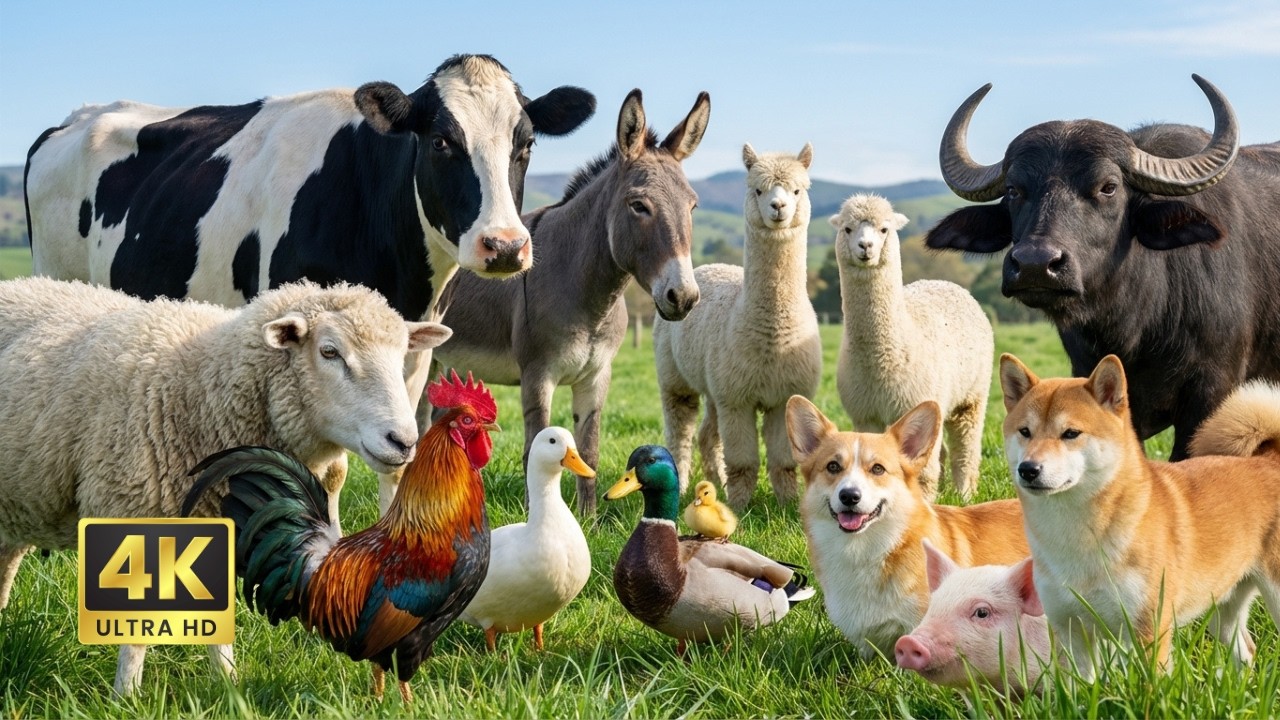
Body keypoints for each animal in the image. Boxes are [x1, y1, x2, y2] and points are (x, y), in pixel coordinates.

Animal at [23, 54, 596, 520]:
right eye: (441, 141)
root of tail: (75, 117)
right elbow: (330, 468)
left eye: (526, 144)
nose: (505, 246)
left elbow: (399, 456)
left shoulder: (414, 353)